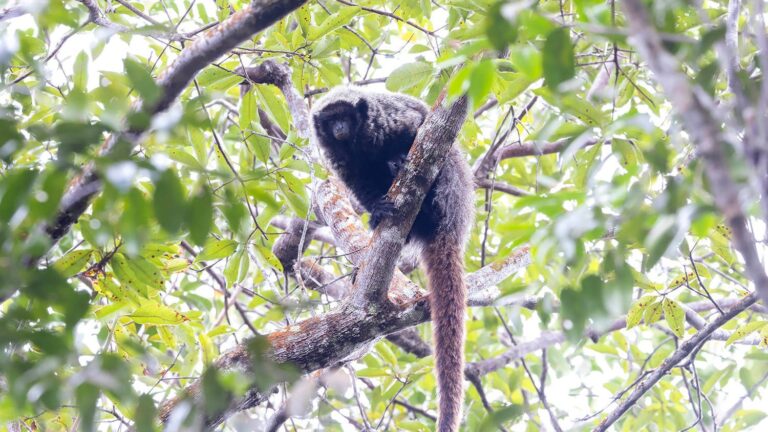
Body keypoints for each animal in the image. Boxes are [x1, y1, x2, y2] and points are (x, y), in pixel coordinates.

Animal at [311, 86, 474, 432]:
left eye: (346, 117)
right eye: (331, 121)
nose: (340, 128)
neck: (356, 141)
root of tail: (452, 226)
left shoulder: (388, 120)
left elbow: (418, 126)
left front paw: (399, 156)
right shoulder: (338, 158)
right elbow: (358, 181)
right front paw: (377, 210)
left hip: (453, 189)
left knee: (444, 162)